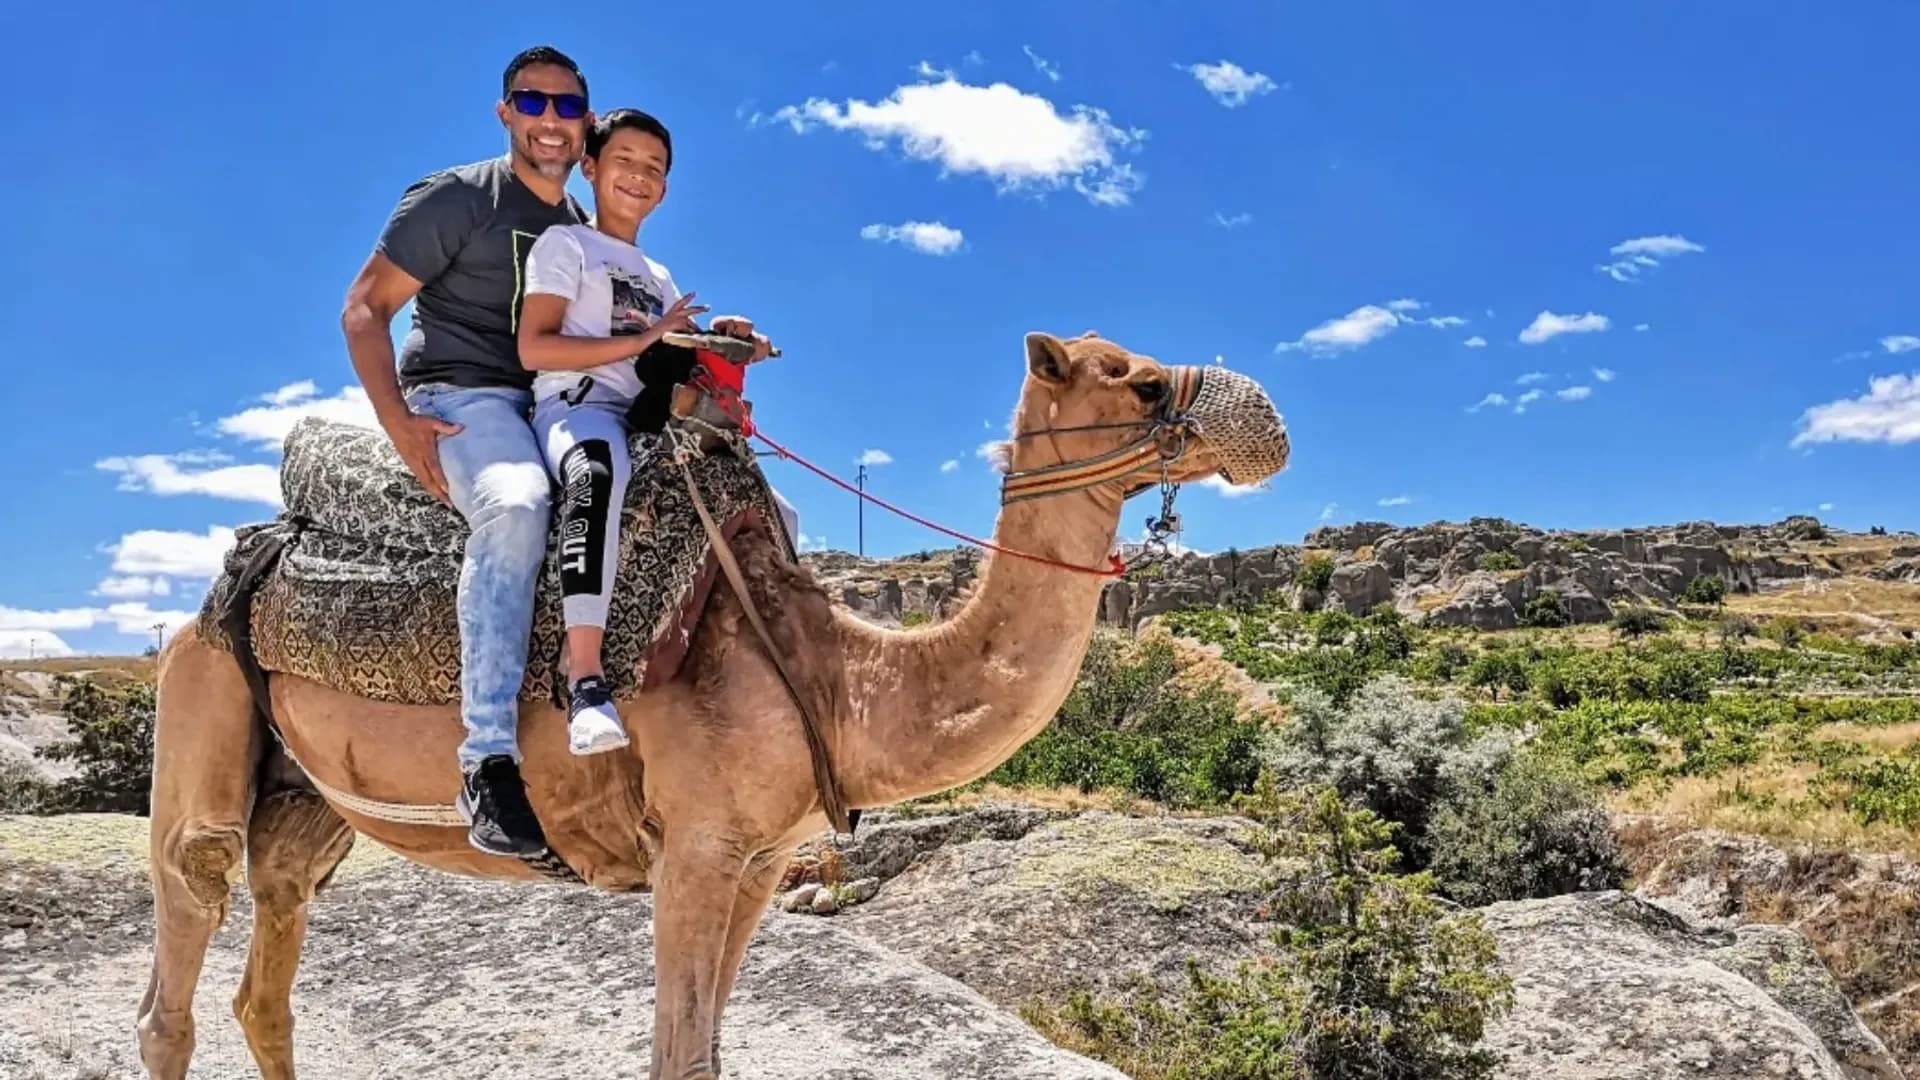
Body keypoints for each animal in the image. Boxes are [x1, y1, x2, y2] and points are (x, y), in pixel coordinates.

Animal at [135, 329, 1287, 1080]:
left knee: (271, 963)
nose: (1266, 416)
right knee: (182, 945)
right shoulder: (692, 847)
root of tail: (252, 554)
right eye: (1140, 382)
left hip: (305, 799)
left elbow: (714, 1050)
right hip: (201, 698)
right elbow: (680, 1057)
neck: (835, 671)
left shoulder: (762, 856)